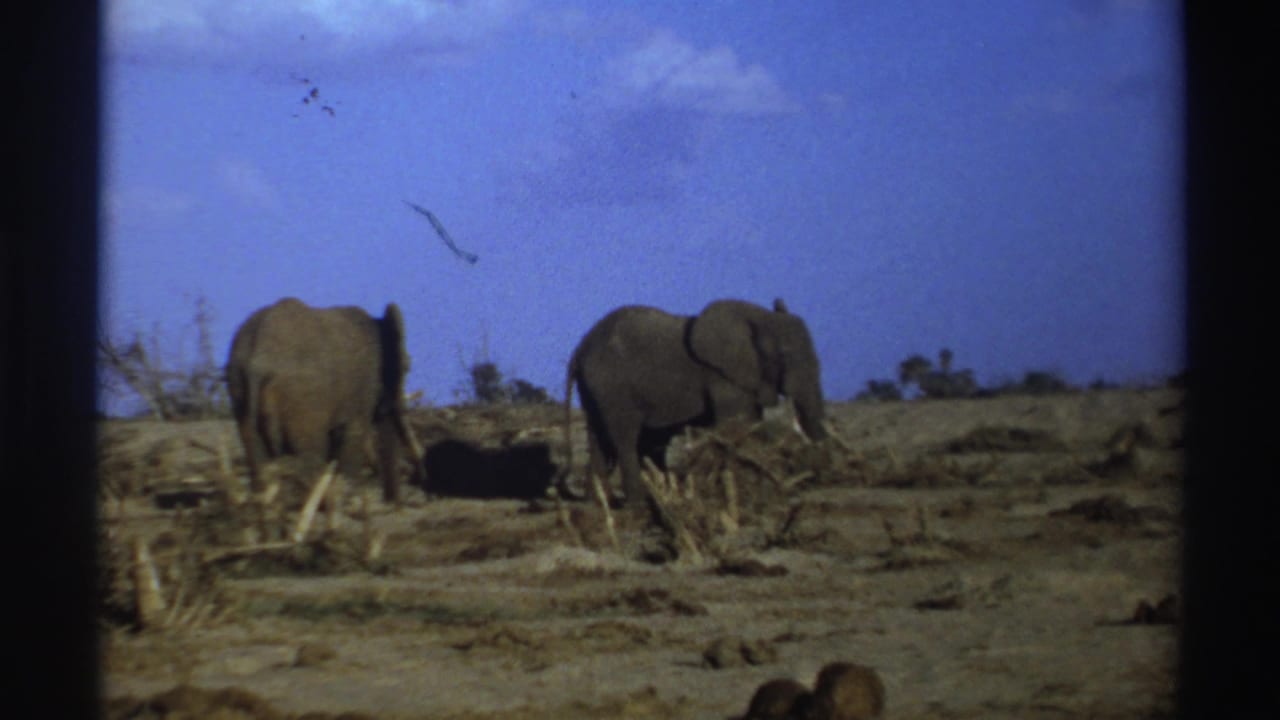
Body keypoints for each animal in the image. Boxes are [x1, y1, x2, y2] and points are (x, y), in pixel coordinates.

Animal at [225, 297, 424, 505]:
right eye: (407, 368)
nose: (394, 502)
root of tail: (258, 360)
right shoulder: (363, 385)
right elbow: (354, 433)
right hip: (303, 397)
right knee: (310, 451)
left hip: (238, 384)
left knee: (256, 453)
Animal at [563, 298, 827, 510]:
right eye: (784, 355)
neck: (757, 315)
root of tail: (579, 348)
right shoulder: (721, 376)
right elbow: (738, 425)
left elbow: (750, 424)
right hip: (612, 386)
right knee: (625, 439)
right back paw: (637, 506)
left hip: (594, 389)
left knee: (600, 439)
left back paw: (599, 504)